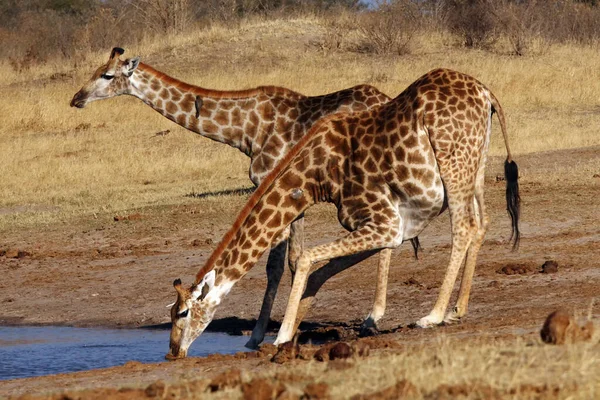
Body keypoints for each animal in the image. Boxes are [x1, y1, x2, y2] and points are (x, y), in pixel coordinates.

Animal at [69, 47, 394, 346]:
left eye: (107, 75)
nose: (76, 99)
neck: (245, 128)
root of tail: (384, 98)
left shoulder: (274, 184)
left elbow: (275, 265)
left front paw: (260, 335)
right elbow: (290, 259)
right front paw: (292, 321)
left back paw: (372, 318)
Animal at [165, 67, 520, 358]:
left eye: (183, 312)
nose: (172, 352)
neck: (316, 177)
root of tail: (486, 94)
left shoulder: (384, 222)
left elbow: (305, 258)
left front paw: (280, 337)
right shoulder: (389, 228)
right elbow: (318, 272)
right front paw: (291, 333)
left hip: (453, 164)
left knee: (464, 226)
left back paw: (432, 315)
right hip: (475, 166)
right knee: (481, 223)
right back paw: (456, 309)